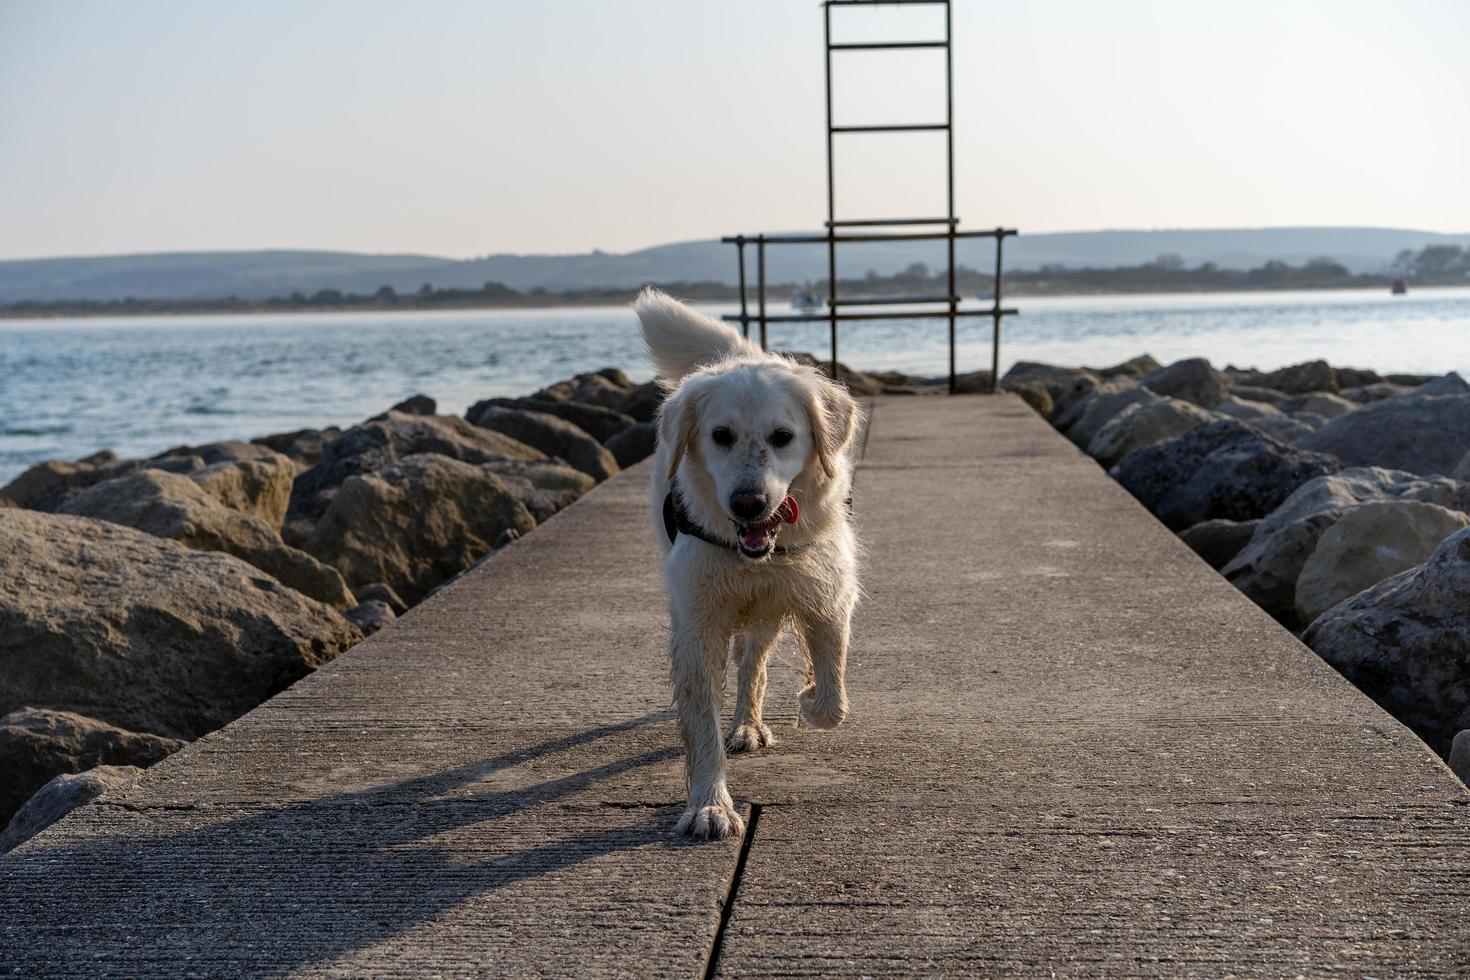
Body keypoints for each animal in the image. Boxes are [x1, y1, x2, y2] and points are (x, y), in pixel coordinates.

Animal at [632, 287, 858, 840]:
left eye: (782, 436)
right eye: (720, 435)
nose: (748, 503)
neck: (755, 555)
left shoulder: (827, 595)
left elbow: (833, 700)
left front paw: (807, 698)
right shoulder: (697, 624)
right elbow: (701, 727)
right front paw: (709, 806)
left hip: (766, 615)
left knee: (752, 663)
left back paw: (749, 724)